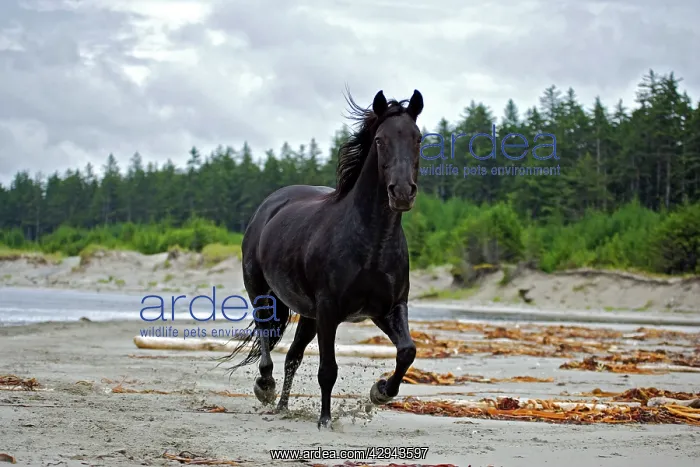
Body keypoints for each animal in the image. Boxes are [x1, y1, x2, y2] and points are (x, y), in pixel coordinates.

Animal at [220, 88, 424, 430]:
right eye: (380, 140)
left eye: (417, 138)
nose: (401, 193)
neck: (371, 244)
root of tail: (269, 206)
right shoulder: (329, 310)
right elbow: (328, 369)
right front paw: (326, 420)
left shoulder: (389, 307)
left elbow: (407, 351)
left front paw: (380, 392)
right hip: (264, 294)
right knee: (266, 338)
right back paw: (266, 388)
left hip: (308, 315)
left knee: (292, 356)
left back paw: (283, 407)